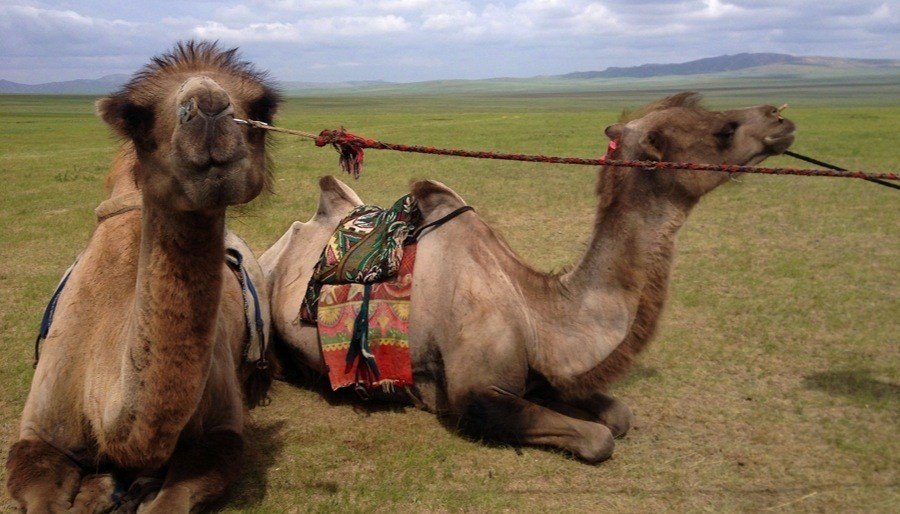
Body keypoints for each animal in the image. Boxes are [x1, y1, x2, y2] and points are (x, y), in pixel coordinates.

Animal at [6, 41, 281, 512]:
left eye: (262, 106)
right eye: (135, 116)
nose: (209, 108)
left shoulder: (222, 433)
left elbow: (174, 496)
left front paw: (131, 491)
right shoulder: (38, 434)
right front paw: (100, 490)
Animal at [262, 93, 796, 463]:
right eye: (724, 129)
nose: (780, 118)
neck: (538, 311)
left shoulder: (542, 371)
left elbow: (618, 415)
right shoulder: (474, 396)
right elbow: (600, 438)